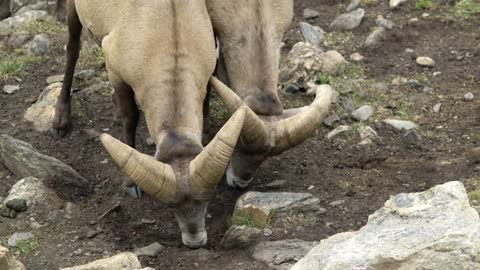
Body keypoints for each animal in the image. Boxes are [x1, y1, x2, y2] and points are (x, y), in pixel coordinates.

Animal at [53, 0, 248, 249]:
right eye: (171, 206)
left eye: (207, 198)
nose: (195, 240)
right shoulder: (117, 71)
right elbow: (130, 118)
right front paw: (130, 185)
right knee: (73, 47)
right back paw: (60, 121)